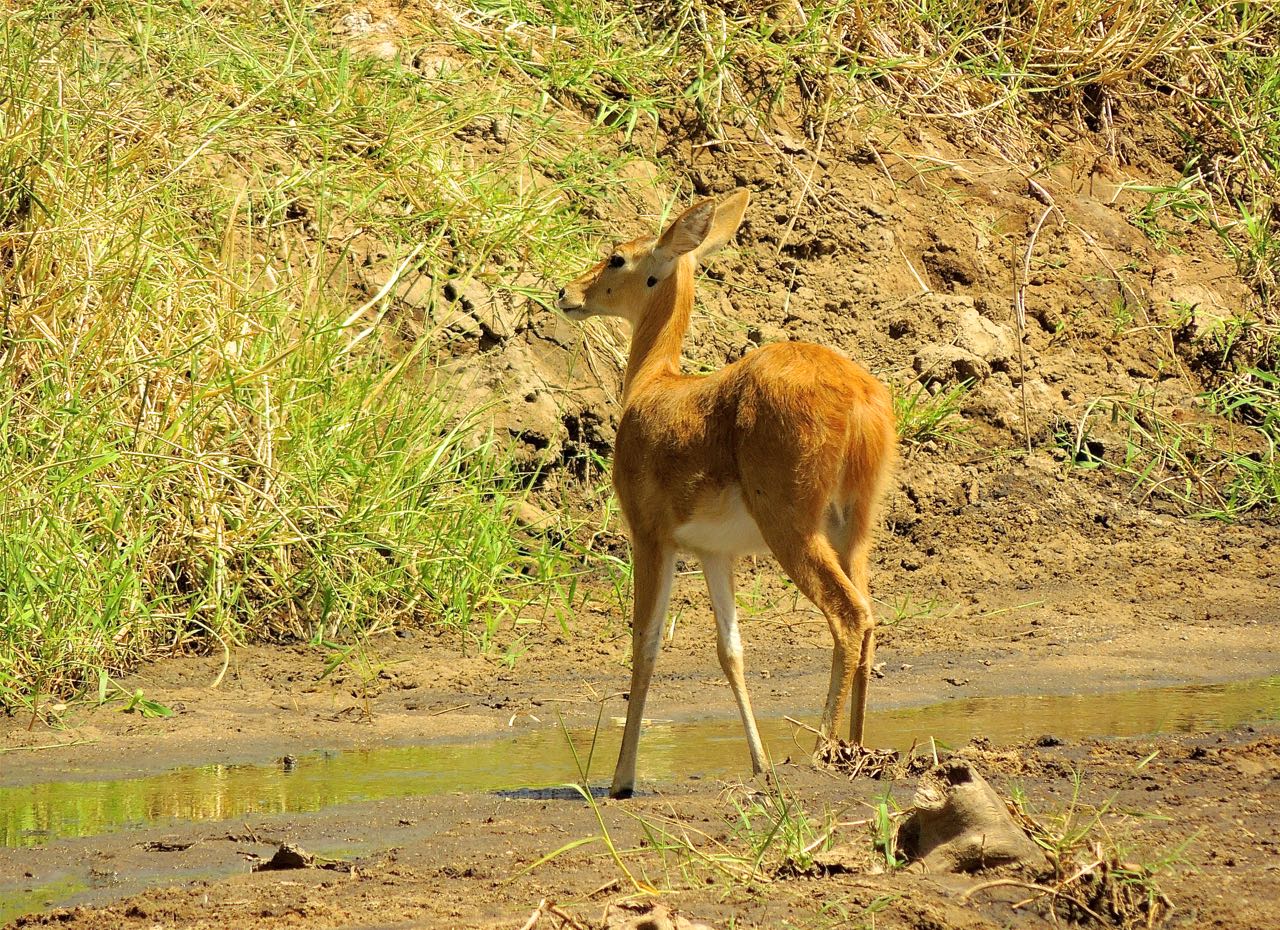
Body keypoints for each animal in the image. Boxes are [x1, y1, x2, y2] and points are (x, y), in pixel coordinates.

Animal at [555, 189, 896, 798]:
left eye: (618, 257)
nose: (567, 293)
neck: (653, 385)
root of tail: (862, 399)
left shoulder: (650, 536)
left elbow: (645, 643)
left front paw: (621, 780)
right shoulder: (716, 553)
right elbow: (730, 650)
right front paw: (758, 764)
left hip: (794, 526)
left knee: (849, 616)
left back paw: (823, 751)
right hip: (854, 527)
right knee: (871, 619)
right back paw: (857, 745)